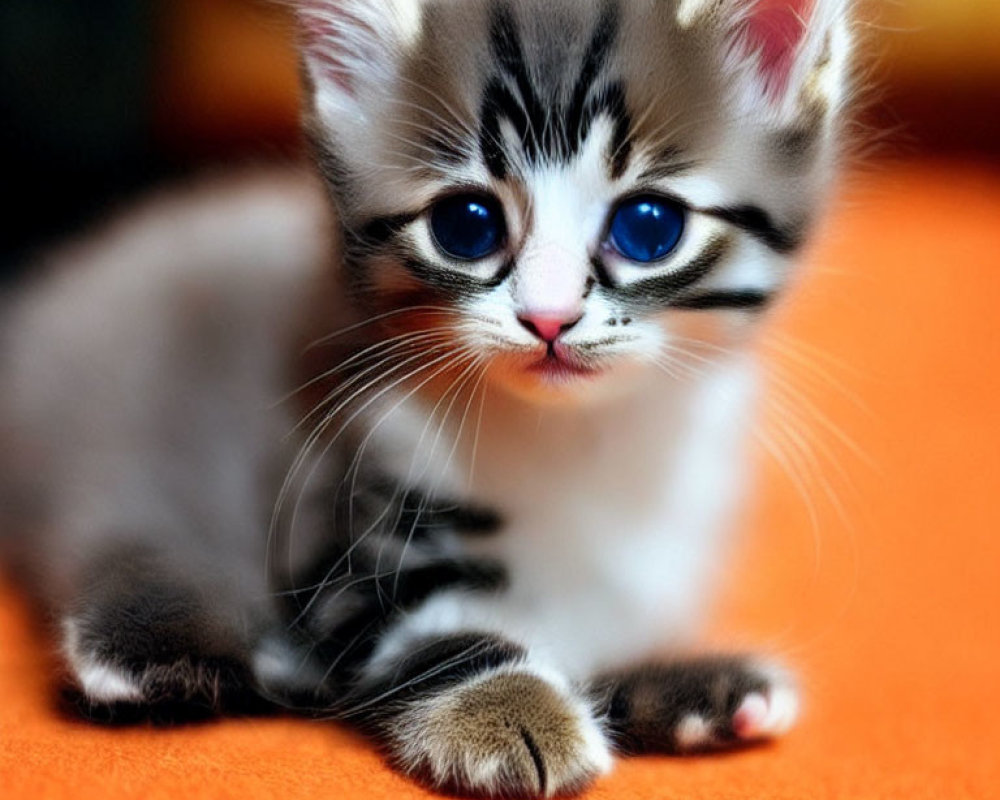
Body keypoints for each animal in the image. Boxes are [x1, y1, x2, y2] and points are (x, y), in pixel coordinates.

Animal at [0, 3, 852, 796]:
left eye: (649, 227)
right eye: (466, 226)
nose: (549, 318)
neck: (575, 442)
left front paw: (692, 692)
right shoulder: (333, 507)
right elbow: (422, 631)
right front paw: (509, 708)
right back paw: (153, 650)